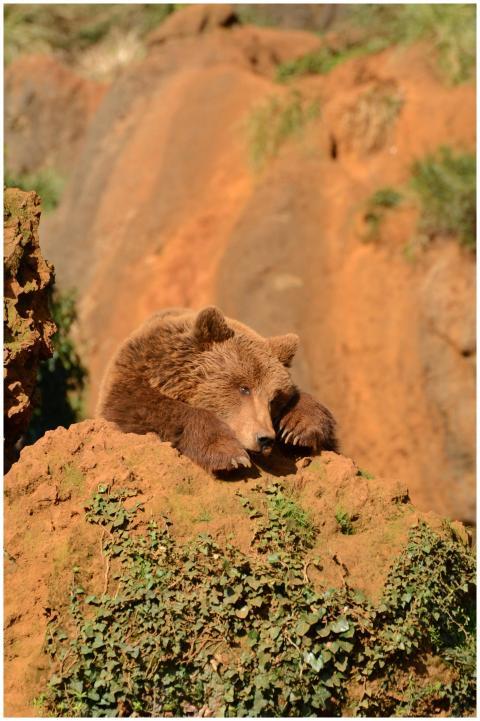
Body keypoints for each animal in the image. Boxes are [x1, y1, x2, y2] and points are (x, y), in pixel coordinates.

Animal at [96, 306, 337, 472]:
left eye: (274, 399)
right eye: (244, 388)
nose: (265, 438)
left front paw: (297, 429)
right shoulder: (128, 384)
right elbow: (147, 409)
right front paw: (228, 453)